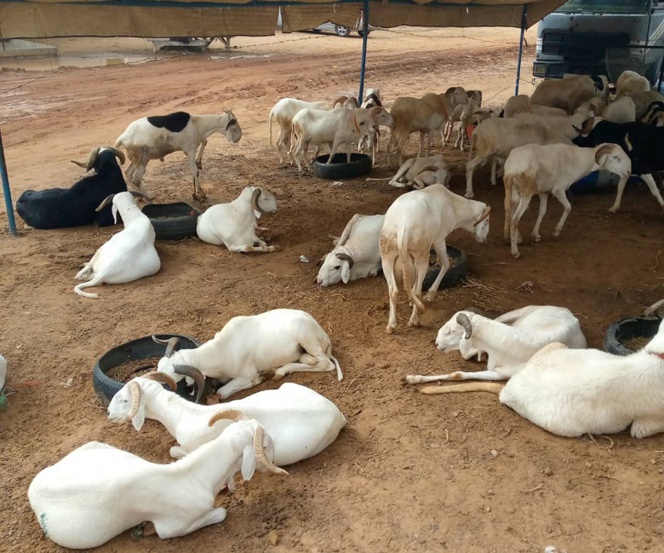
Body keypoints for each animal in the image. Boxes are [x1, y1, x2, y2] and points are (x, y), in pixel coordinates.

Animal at [28, 415, 286, 549]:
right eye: (265, 445)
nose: (275, 459)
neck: (192, 475)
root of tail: (33, 487)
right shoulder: (172, 527)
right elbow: (221, 513)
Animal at [155, 308, 343, 399]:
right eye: (159, 366)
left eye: (171, 376)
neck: (221, 350)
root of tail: (323, 334)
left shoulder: (246, 374)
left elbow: (222, 392)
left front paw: (260, 377)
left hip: (307, 338)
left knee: (326, 364)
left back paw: (280, 371)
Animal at [380, 184, 491, 334]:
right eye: (487, 220)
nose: (484, 239)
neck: (454, 206)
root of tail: (403, 224)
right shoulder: (439, 239)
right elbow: (446, 264)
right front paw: (430, 295)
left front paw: (411, 301)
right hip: (421, 253)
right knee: (417, 290)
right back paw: (413, 321)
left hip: (387, 253)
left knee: (393, 290)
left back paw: (391, 326)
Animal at [404, 305, 587, 384]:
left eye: (451, 330)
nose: (437, 343)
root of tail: (571, 316)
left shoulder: (501, 374)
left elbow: (458, 374)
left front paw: (412, 378)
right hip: (519, 312)